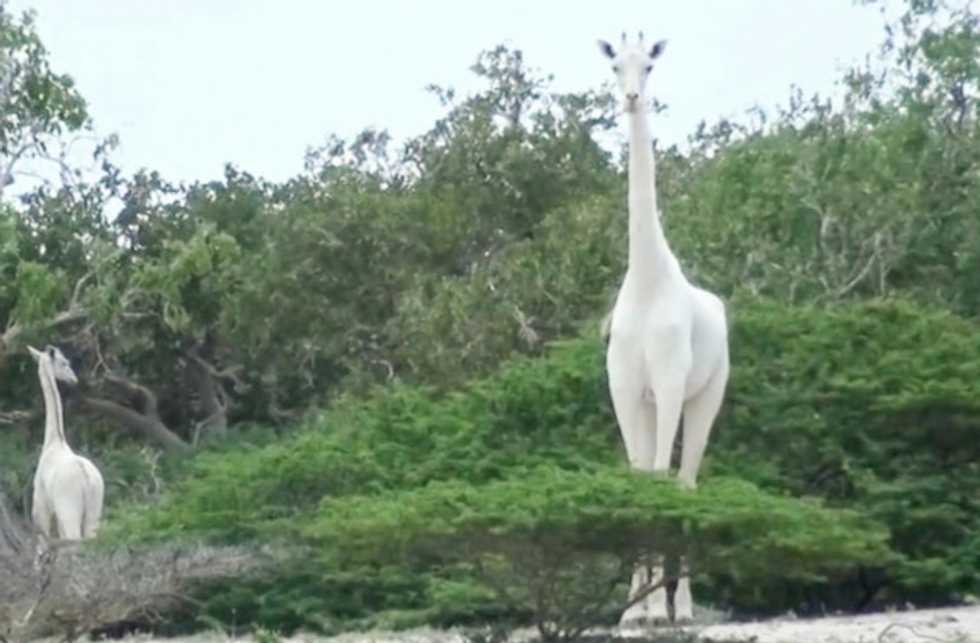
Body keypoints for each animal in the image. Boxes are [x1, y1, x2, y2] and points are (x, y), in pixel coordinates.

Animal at [28, 345, 104, 541]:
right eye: (64, 363)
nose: (74, 380)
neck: (54, 441)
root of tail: (86, 477)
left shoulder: (41, 509)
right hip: (94, 512)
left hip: (68, 509)